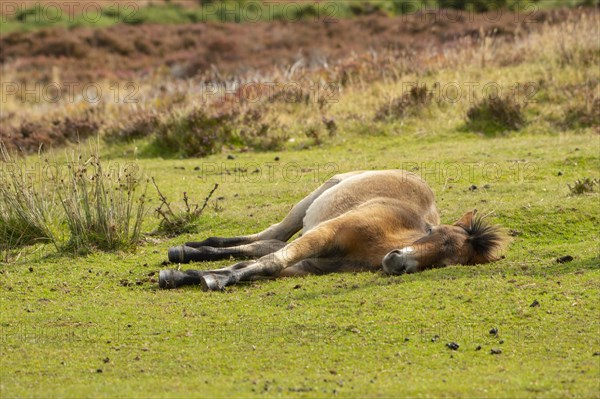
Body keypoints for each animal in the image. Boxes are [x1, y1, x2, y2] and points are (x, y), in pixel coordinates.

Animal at [159, 169, 506, 290]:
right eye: (432, 233)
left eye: (444, 263)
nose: (395, 260)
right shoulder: (321, 236)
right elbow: (268, 263)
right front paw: (201, 277)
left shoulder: (307, 266)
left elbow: (251, 266)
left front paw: (192, 277)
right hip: (307, 206)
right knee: (269, 236)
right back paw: (184, 249)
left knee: (262, 245)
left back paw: (187, 253)